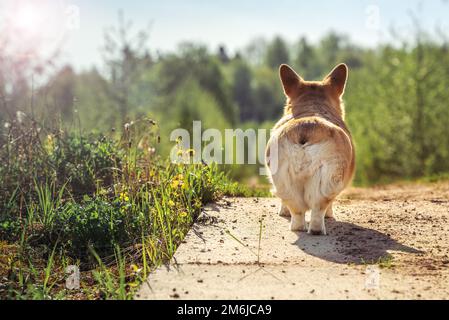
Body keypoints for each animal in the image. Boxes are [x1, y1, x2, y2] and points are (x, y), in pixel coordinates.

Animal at [264, 64, 356, 235]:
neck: (313, 106)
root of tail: (305, 129)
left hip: (283, 180)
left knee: (297, 211)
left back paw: (298, 227)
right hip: (329, 180)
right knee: (318, 209)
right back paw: (318, 230)